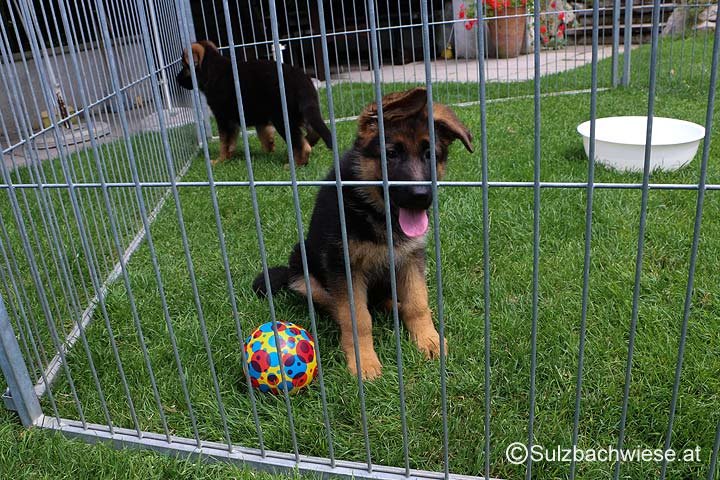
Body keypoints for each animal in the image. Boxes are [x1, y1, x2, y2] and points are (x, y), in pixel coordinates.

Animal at [177, 41, 332, 166]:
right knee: (312, 133)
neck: (212, 69)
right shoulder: (259, 117)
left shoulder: (224, 119)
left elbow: (224, 142)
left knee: (301, 144)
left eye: (184, 66)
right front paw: (268, 151)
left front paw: (220, 160)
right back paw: (299, 149)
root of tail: (303, 83)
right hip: (302, 112)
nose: (176, 79)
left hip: (282, 118)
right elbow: (264, 134)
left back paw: (296, 163)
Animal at [253, 87, 473, 380]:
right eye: (390, 154)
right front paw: (364, 361)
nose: (421, 196)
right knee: (338, 306)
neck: (378, 213)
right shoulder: (345, 267)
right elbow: (357, 319)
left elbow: (417, 303)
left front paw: (429, 340)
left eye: (431, 155)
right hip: (302, 269)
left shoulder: (411, 258)